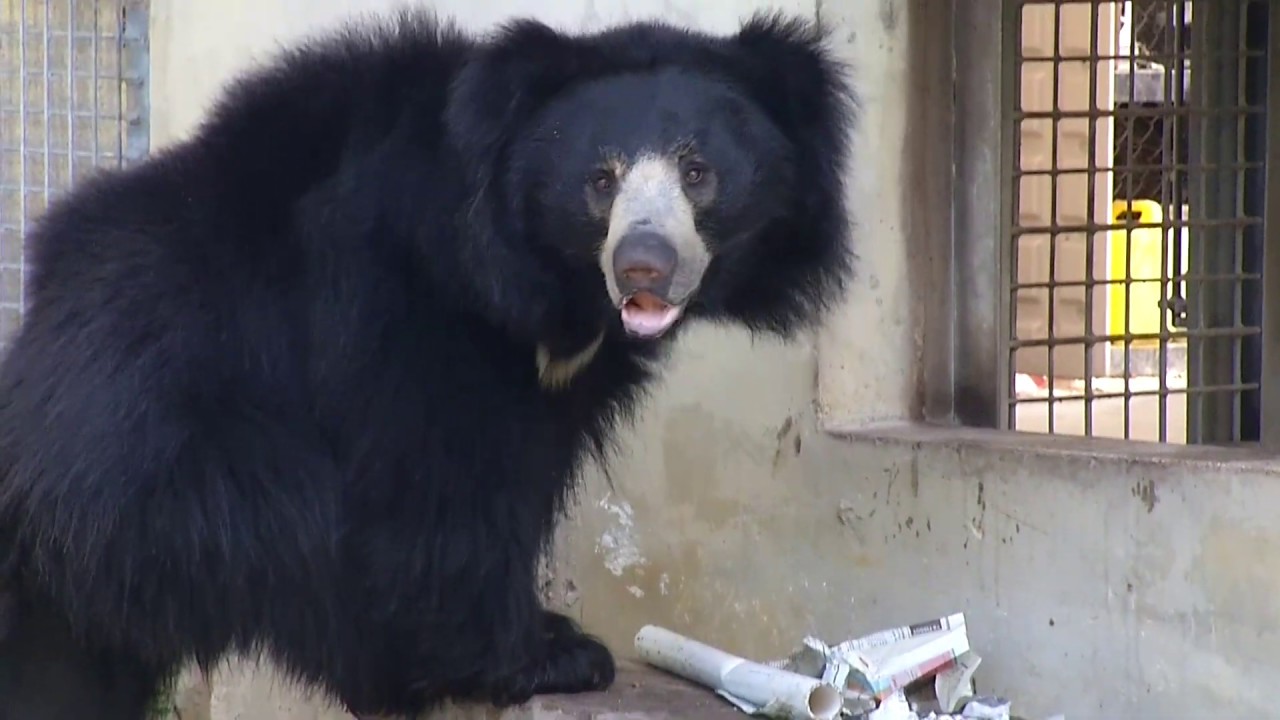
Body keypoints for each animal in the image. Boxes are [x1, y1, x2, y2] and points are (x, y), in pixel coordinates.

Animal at [0, 8, 854, 719]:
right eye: (600, 179)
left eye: (698, 171)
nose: (644, 264)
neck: (545, 285)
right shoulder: (399, 306)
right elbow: (442, 481)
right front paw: (546, 654)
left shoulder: (561, 374)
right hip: (159, 475)